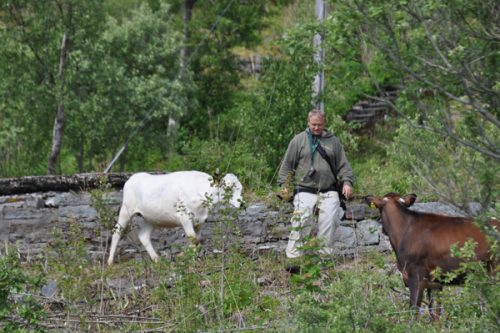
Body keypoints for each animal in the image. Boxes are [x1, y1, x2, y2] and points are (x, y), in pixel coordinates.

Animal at [108, 171, 244, 264]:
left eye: (241, 188)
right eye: (228, 188)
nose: (242, 203)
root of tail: (133, 177)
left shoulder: (199, 220)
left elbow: (198, 239)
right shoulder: (184, 217)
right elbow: (192, 238)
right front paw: (186, 256)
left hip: (149, 218)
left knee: (143, 236)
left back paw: (156, 259)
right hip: (126, 210)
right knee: (116, 233)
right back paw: (110, 261)